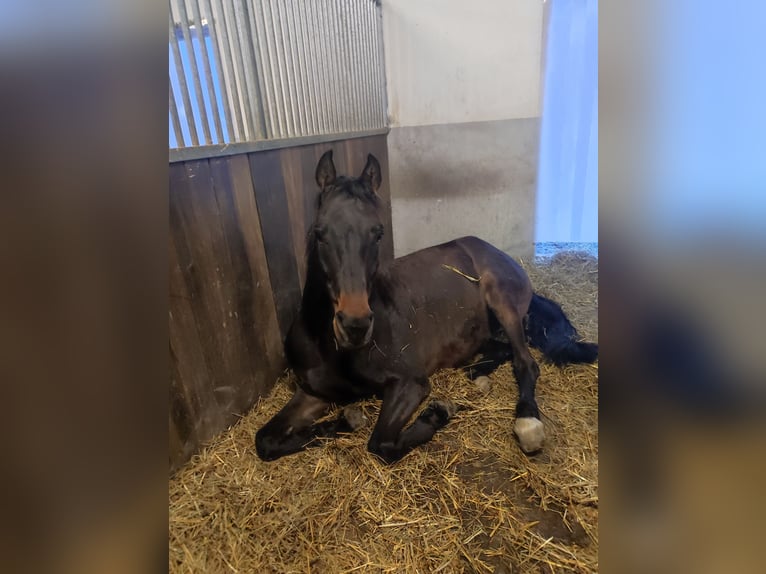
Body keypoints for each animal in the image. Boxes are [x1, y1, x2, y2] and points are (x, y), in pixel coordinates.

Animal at [255, 151, 596, 466]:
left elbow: (382, 444)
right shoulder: (314, 393)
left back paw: (527, 423)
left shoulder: (410, 383)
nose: (354, 325)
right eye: (319, 232)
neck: (332, 350)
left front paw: (439, 413)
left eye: (378, 232)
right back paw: (477, 375)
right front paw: (345, 421)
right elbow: (265, 440)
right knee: (502, 349)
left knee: (525, 362)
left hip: (502, 301)